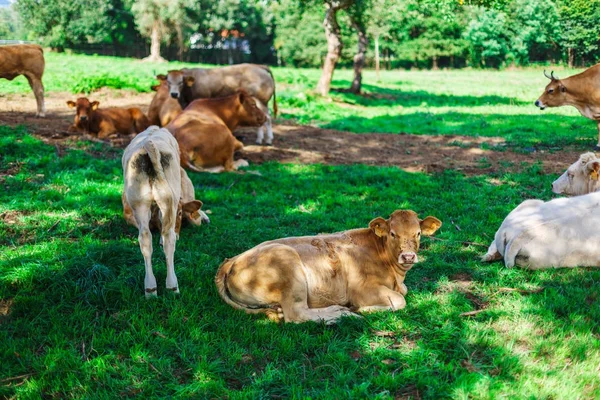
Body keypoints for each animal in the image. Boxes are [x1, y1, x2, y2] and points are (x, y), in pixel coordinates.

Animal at [120, 126, 207, 296]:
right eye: (180, 214)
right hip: (169, 202)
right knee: (169, 239)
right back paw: (172, 286)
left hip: (139, 203)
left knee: (145, 239)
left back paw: (150, 288)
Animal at [216, 211, 440, 324]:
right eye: (393, 233)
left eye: (418, 233)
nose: (408, 256)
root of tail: (231, 260)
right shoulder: (362, 290)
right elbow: (399, 300)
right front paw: (361, 309)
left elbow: (404, 293)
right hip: (289, 268)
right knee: (297, 314)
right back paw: (342, 313)